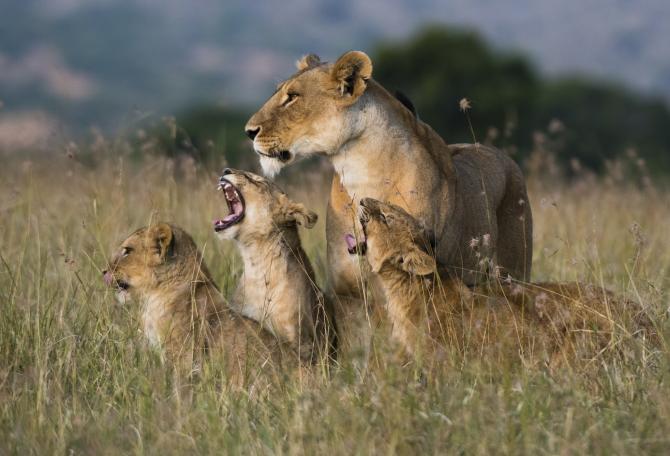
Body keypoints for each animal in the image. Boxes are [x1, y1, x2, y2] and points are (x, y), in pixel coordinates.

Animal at [244, 51, 533, 358]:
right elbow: (356, 353)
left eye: (293, 96)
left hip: (512, 274)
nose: (249, 131)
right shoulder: (348, 295)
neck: (360, 170)